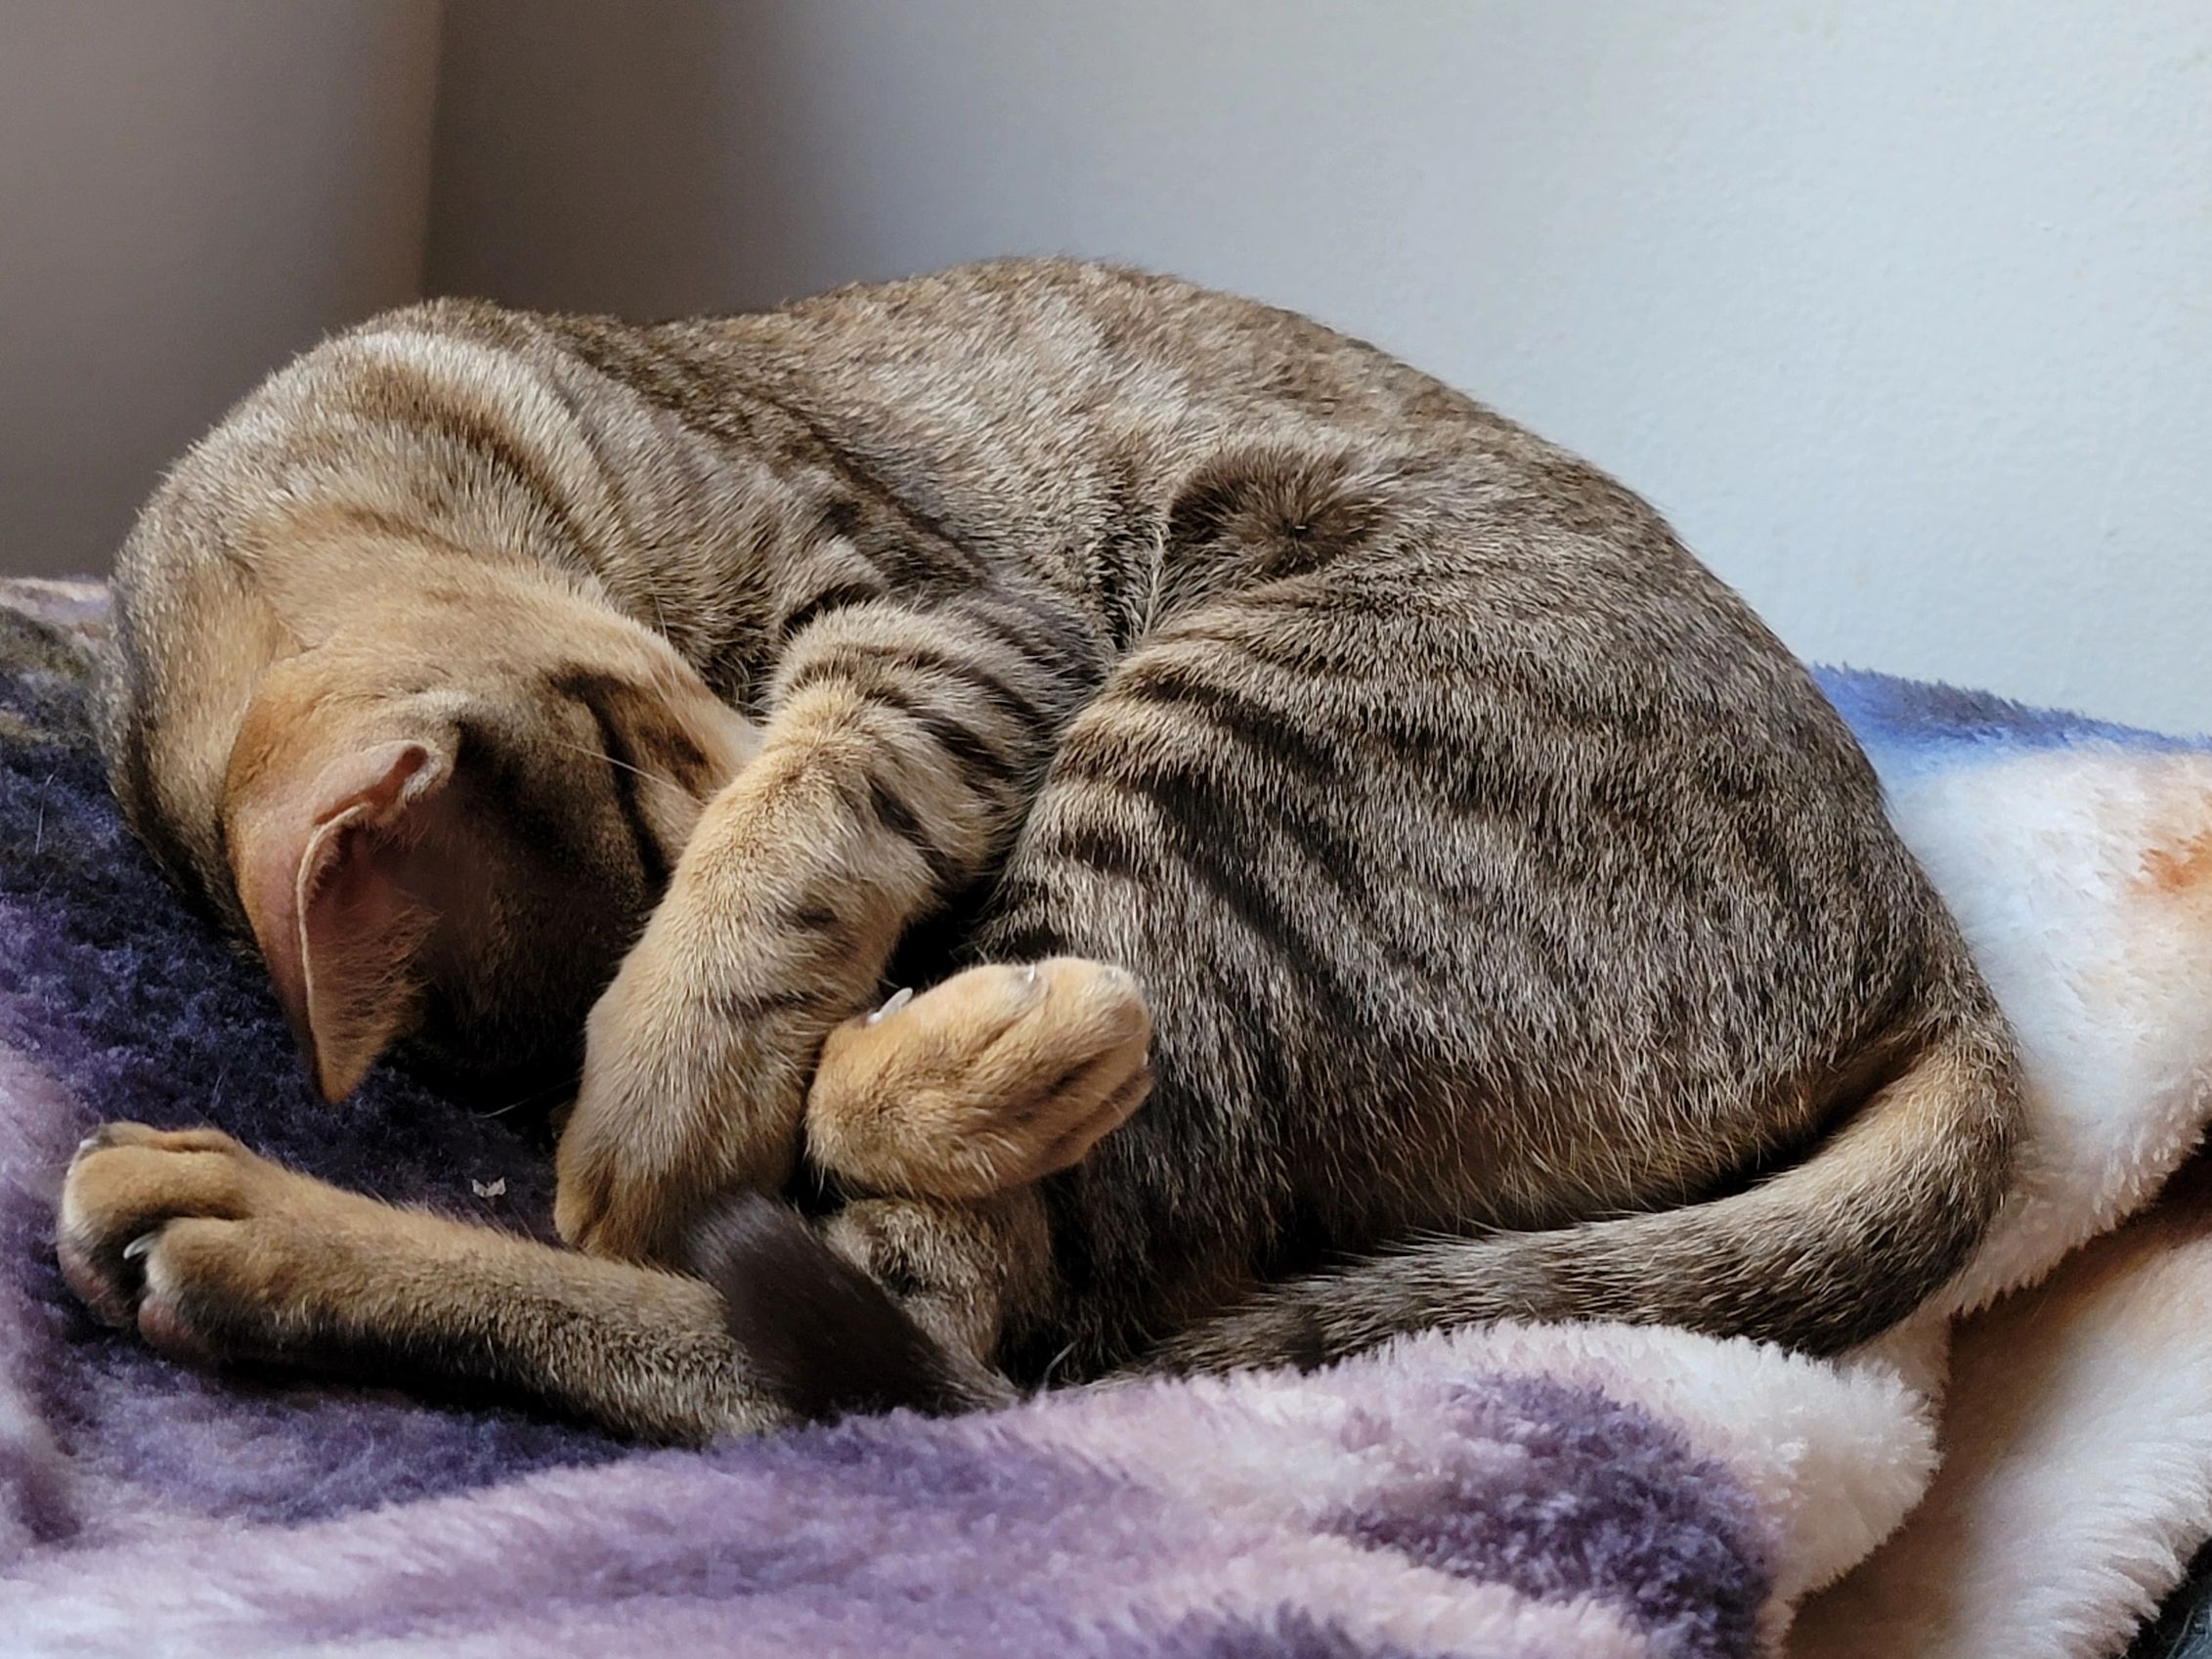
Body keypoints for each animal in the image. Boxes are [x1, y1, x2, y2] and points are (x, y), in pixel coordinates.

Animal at [52, 256, 2025, 1442]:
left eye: (640, 790)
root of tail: (1932, 947)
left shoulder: (948, 624)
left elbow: (801, 838)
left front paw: (662, 1089)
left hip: (1208, 736)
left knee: (929, 1331)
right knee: (910, 1330)